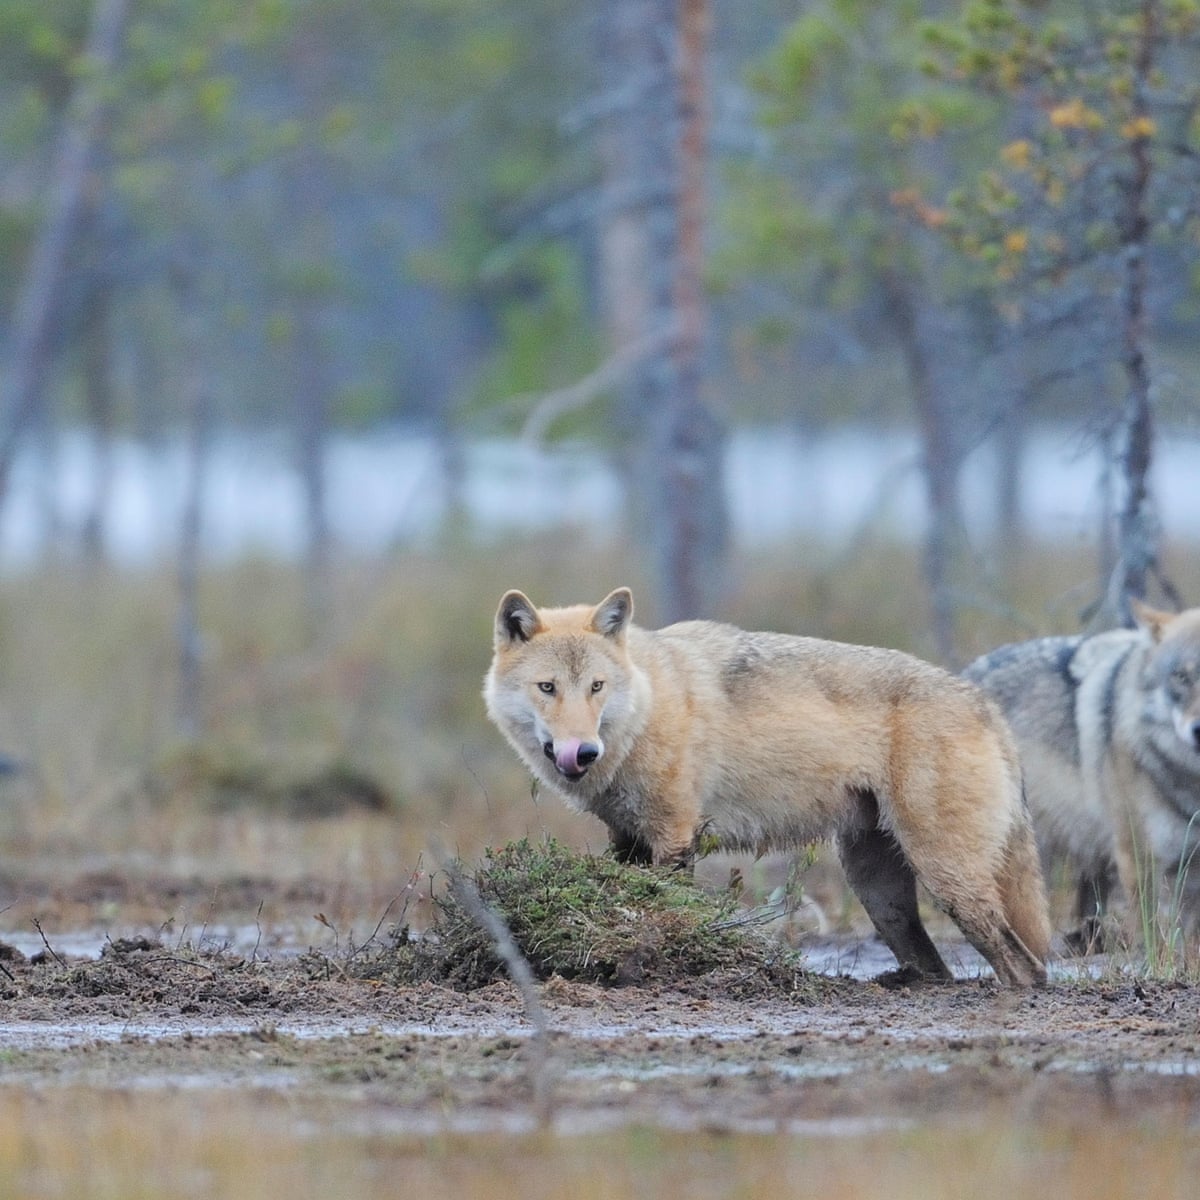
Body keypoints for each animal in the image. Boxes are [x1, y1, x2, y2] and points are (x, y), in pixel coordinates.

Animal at [483, 587, 1050, 986]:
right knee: (940, 967)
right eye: (548, 687)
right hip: (879, 892)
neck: (647, 705)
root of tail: (983, 702)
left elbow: (661, 915)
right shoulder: (626, 840)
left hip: (945, 877)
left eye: (596, 687)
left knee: (1027, 968)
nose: (582, 752)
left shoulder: (674, 837)